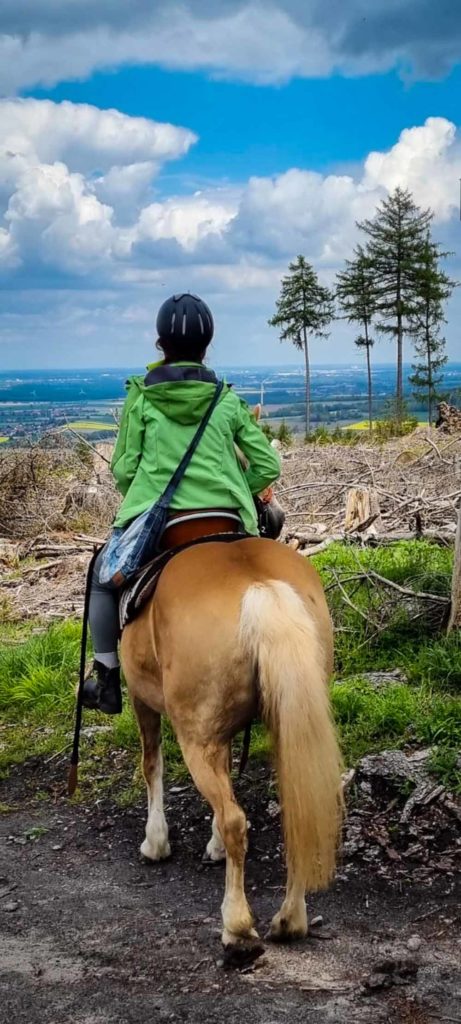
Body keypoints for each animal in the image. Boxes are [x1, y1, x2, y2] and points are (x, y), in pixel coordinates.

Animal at [120, 540, 344, 962]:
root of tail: (259, 586)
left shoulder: (141, 698)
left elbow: (150, 763)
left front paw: (155, 842)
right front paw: (214, 847)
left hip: (194, 738)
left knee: (236, 820)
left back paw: (237, 928)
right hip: (288, 720)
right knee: (298, 809)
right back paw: (289, 921)